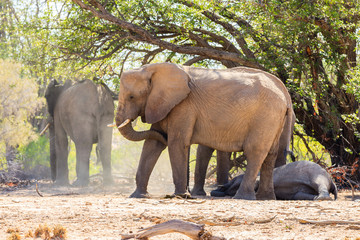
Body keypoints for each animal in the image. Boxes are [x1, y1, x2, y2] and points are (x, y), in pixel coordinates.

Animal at [114, 62, 292, 200]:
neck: (152, 69)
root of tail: (285, 96)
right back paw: (266, 198)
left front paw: (180, 196)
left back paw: (242, 197)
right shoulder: (161, 103)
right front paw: (138, 196)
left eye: (131, 97)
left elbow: (176, 143)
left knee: (255, 151)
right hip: (274, 119)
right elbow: (152, 144)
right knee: (271, 155)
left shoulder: (184, 105)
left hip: (265, 117)